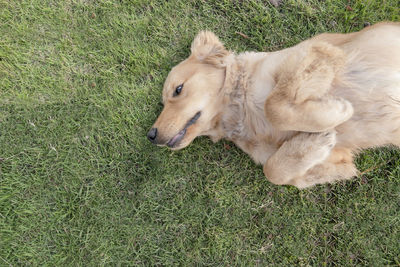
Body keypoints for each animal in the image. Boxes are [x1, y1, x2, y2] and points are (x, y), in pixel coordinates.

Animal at [147, 23, 400, 189]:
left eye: (178, 89)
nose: (151, 135)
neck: (241, 111)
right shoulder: (341, 156)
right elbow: (274, 171)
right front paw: (312, 144)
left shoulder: (320, 52)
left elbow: (274, 106)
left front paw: (339, 111)